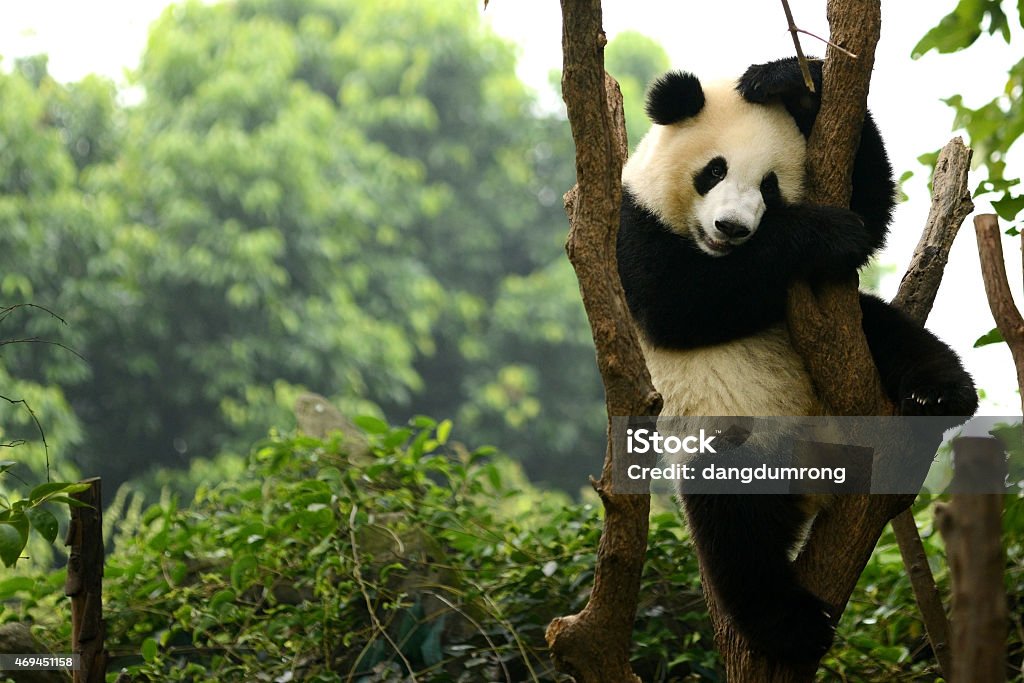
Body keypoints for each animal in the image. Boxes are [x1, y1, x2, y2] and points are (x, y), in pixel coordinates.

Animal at [614, 58, 974, 663]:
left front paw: (788, 82)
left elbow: (870, 203)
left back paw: (941, 394)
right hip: (731, 430)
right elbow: (677, 302)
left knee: (887, 329)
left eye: (771, 186)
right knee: (734, 520)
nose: (732, 228)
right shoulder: (630, 226)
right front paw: (825, 233)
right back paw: (793, 627)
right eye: (713, 170)